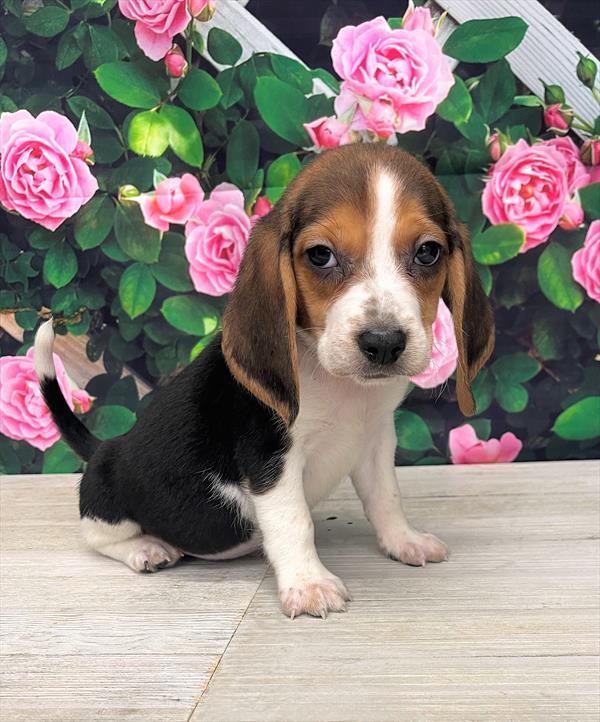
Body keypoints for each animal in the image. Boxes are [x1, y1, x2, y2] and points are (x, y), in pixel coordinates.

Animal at [36, 143, 492, 616]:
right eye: (320, 255)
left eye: (427, 252)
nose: (383, 342)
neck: (342, 387)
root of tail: (103, 447)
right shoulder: (271, 458)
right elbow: (295, 522)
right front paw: (309, 584)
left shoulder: (375, 439)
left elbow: (386, 498)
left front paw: (404, 541)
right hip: (105, 501)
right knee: (98, 537)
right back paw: (146, 548)